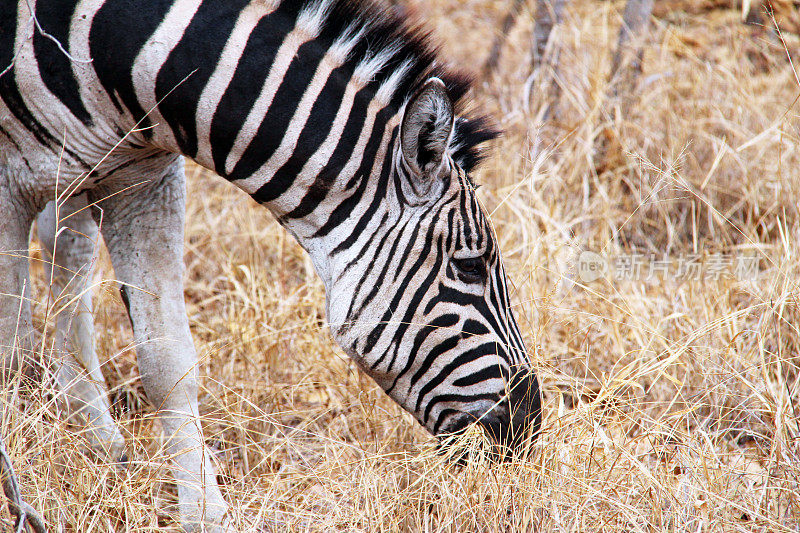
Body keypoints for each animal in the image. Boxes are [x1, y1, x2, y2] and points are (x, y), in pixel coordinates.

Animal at [0, 0, 544, 528]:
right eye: (470, 268)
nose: (529, 424)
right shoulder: (9, 186)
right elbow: (10, 350)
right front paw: (22, 492)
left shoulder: (144, 177)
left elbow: (168, 361)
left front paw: (205, 514)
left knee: (67, 246)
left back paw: (95, 430)